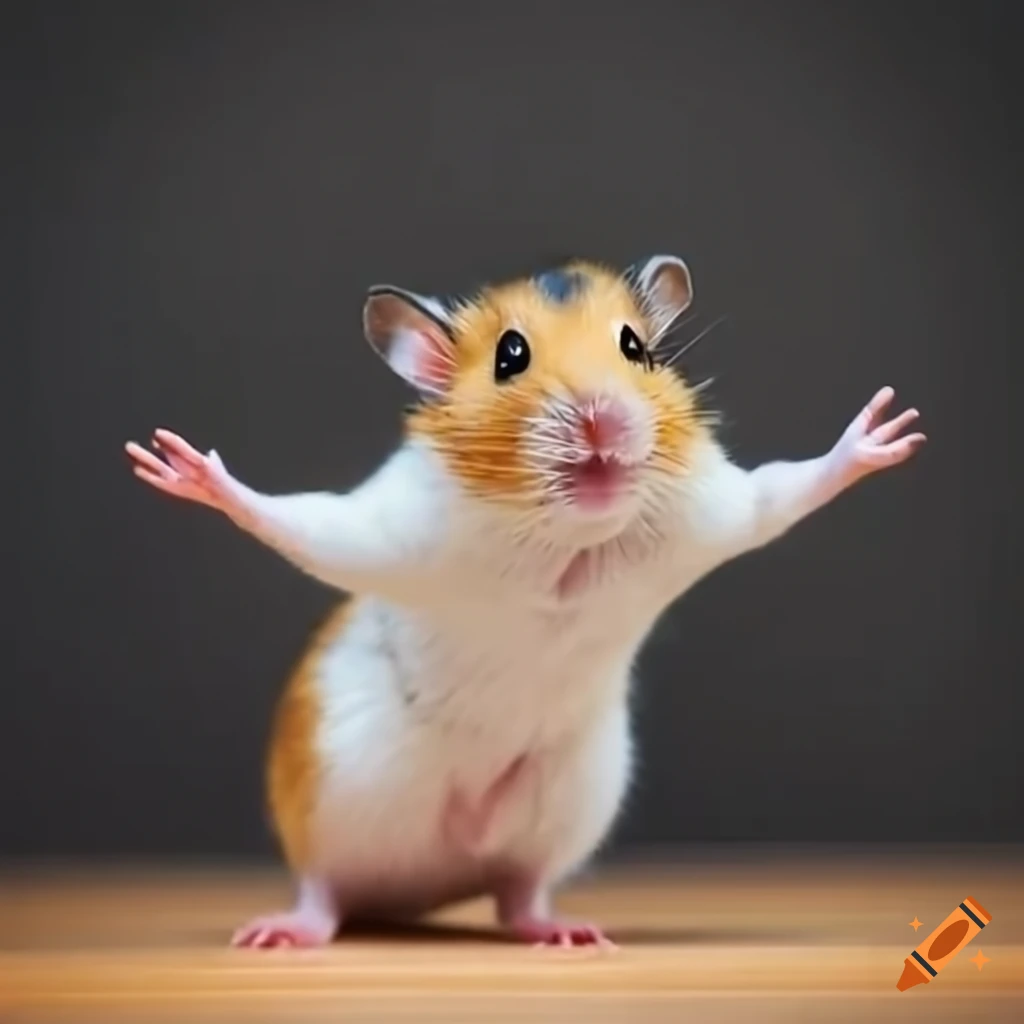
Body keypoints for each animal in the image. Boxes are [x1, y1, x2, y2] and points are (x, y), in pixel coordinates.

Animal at [125, 256, 926, 948]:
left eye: (635, 347)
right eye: (510, 356)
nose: (603, 419)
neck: (566, 542)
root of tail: (434, 883)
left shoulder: (713, 511)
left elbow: (780, 492)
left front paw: (885, 433)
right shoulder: (392, 530)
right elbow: (303, 522)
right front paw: (181, 467)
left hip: (569, 799)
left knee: (519, 894)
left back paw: (568, 934)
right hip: (336, 792)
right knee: (325, 891)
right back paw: (278, 935)